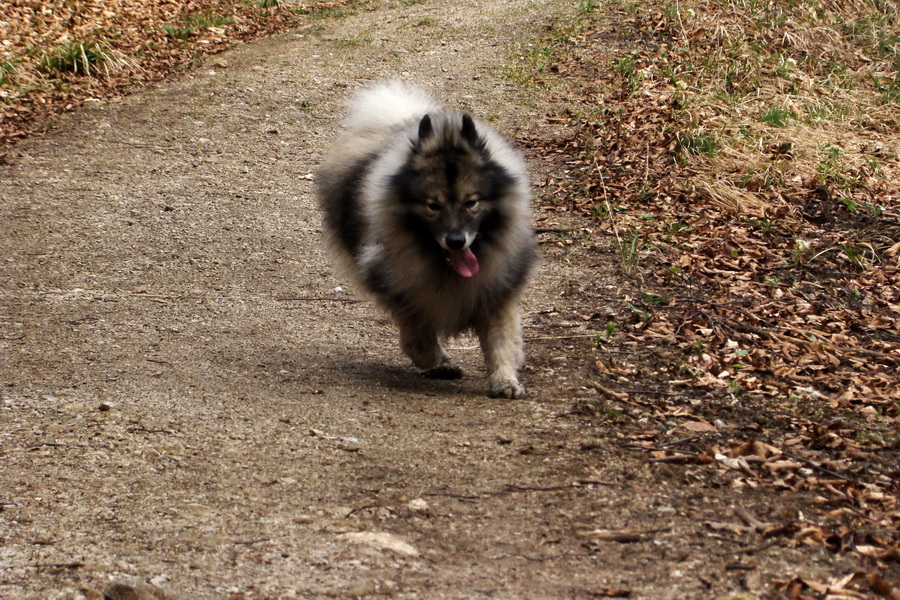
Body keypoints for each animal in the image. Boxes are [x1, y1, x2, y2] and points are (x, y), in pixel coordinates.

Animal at [316, 81, 536, 398]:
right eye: (433, 205)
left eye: (471, 202)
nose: (456, 241)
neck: (445, 269)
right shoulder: (401, 291)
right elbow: (417, 337)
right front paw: (437, 362)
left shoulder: (497, 291)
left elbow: (501, 341)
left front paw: (504, 380)